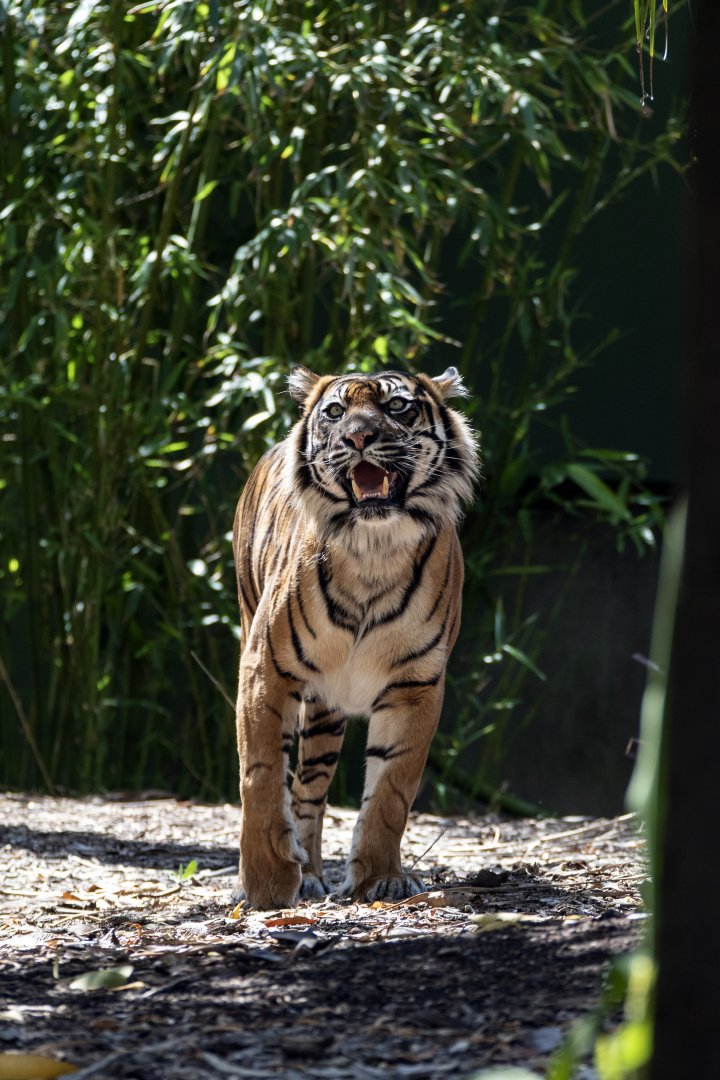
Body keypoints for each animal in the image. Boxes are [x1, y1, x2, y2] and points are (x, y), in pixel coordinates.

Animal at [232, 365, 479, 910]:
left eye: (397, 407)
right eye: (335, 411)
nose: (358, 437)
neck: (373, 548)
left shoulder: (415, 685)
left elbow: (391, 790)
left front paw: (381, 878)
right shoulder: (265, 669)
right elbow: (261, 776)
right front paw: (264, 883)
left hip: (327, 709)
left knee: (309, 789)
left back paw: (312, 873)